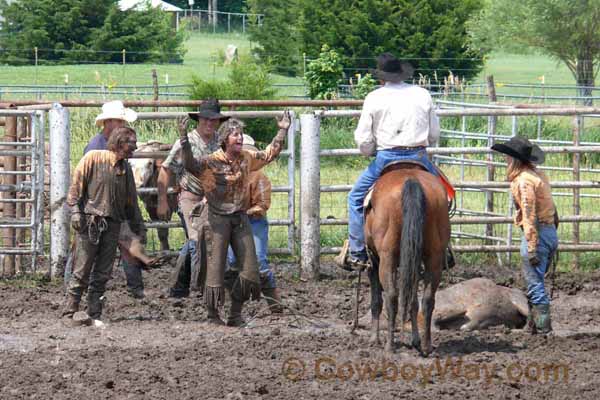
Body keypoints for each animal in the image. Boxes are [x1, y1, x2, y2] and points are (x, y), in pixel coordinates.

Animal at [360, 166, 450, 356]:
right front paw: (415, 340)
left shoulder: (374, 261)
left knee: (392, 297)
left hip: (387, 257)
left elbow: (376, 301)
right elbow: (412, 301)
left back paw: (389, 346)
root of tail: (411, 180)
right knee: (427, 299)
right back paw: (426, 346)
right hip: (434, 256)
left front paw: (374, 339)